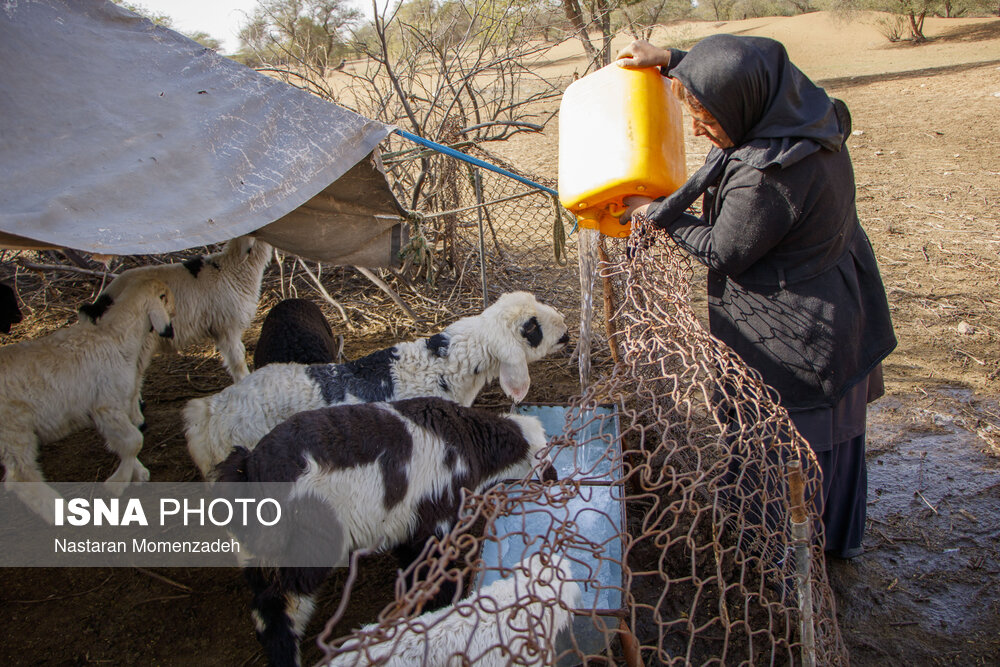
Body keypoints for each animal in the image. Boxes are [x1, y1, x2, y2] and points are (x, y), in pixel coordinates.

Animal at [0, 276, 174, 520]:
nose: (174, 314)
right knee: (21, 475)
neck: (115, 337)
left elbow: (124, 442)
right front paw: (117, 483)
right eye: (166, 298)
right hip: (14, 428)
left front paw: (137, 472)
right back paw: (60, 511)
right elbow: (134, 441)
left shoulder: (112, 407)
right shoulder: (107, 405)